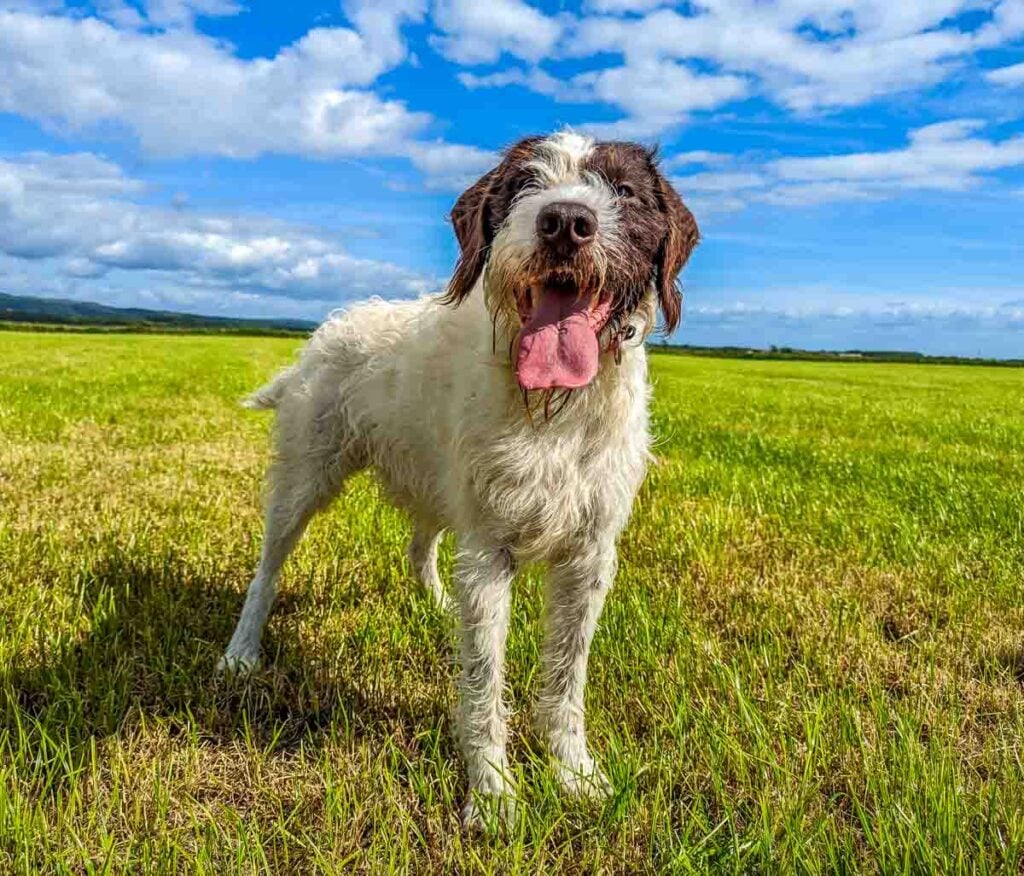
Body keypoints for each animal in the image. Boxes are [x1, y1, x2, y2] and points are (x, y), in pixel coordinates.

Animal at [219, 130, 700, 827]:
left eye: (625, 191)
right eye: (526, 183)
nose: (565, 221)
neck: (555, 408)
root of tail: (333, 324)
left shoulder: (588, 556)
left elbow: (566, 676)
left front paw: (573, 772)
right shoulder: (489, 552)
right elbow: (482, 680)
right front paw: (494, 793)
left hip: (436, 483)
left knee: (420, 543)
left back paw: (435, 602)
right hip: (304, 478)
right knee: (267, 568)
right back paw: (241, 652)